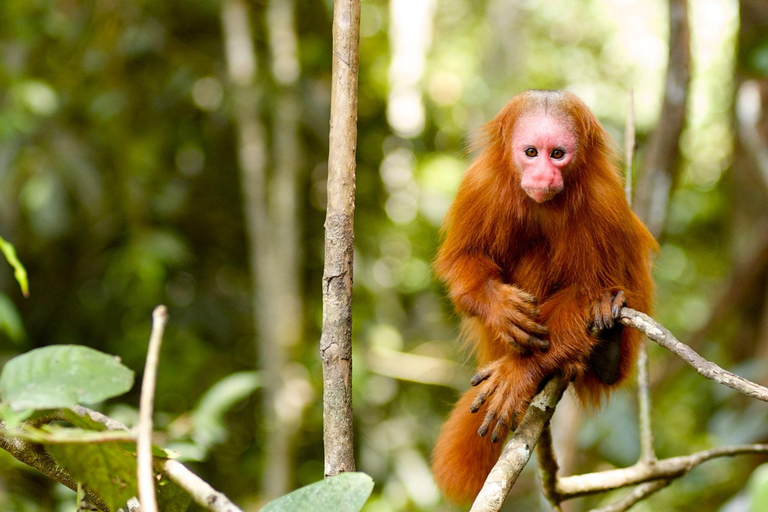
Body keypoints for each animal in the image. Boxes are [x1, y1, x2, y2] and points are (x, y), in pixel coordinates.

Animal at [428, 90, 656, 502]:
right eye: (532, 152)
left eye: (558, 154)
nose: (543, 175)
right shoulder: (479, 185)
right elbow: (462, 261)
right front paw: (500, 306)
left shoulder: (603, 201)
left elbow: (587, 290)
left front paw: (520, 373)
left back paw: (605, 353)